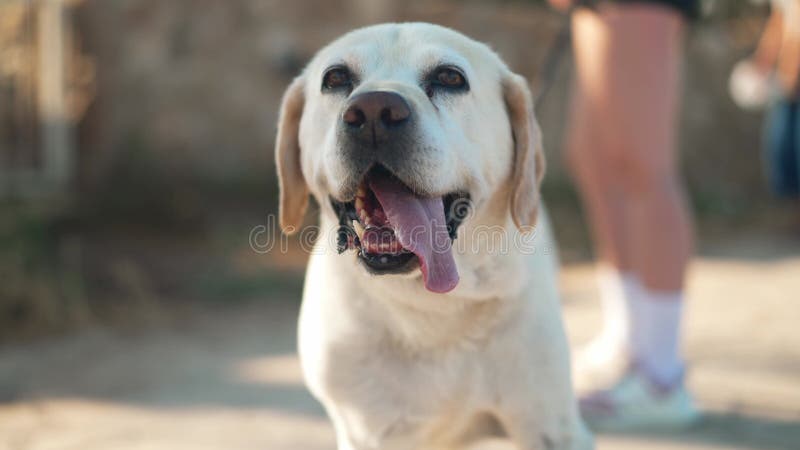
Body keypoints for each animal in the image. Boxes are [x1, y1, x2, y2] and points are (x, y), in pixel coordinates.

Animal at [276, 22, 592, 450]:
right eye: (336, 78)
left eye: (450, 78)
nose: (374, 111)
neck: (431, 307)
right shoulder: (368, 432)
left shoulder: (551, 426)